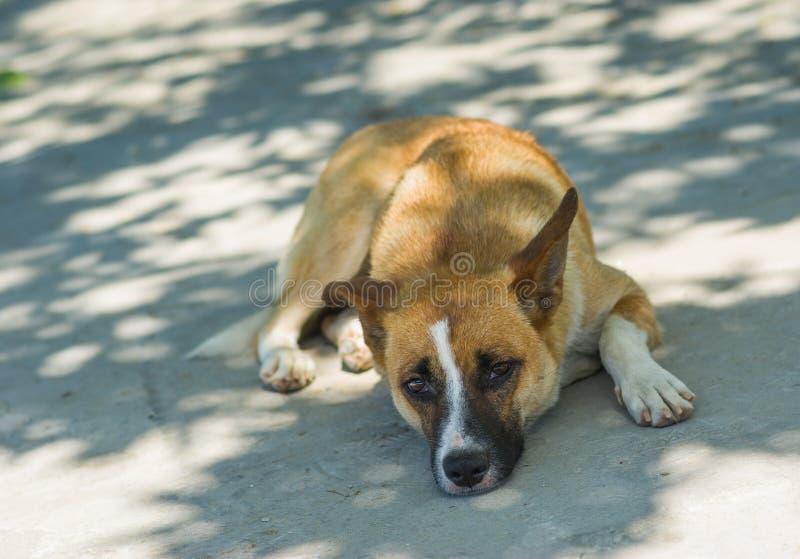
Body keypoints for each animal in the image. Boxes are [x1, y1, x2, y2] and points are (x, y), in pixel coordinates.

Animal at [192, 117, 692, 494]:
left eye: (499, 369)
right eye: (415, 385)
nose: (464, 469)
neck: (453, 255)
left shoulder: (623, 289)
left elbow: (615, 333)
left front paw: (648, 383)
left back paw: (353, 340)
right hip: (340, 240)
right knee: (280, 319)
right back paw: (287, 357)